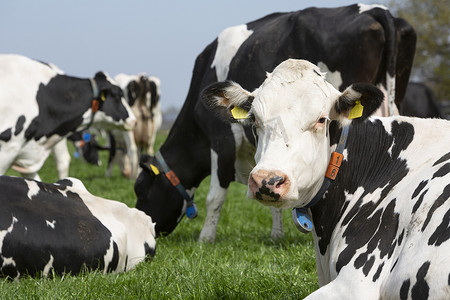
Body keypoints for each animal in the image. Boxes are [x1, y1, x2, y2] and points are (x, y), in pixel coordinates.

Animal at [135, 3, 416, 243]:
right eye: (254, 119)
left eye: (140, 189)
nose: (147, 231)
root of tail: (377, 10)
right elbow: (273, 193)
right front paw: (277, 235)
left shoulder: (221, 138)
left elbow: (215, 196)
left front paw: (206, 239)